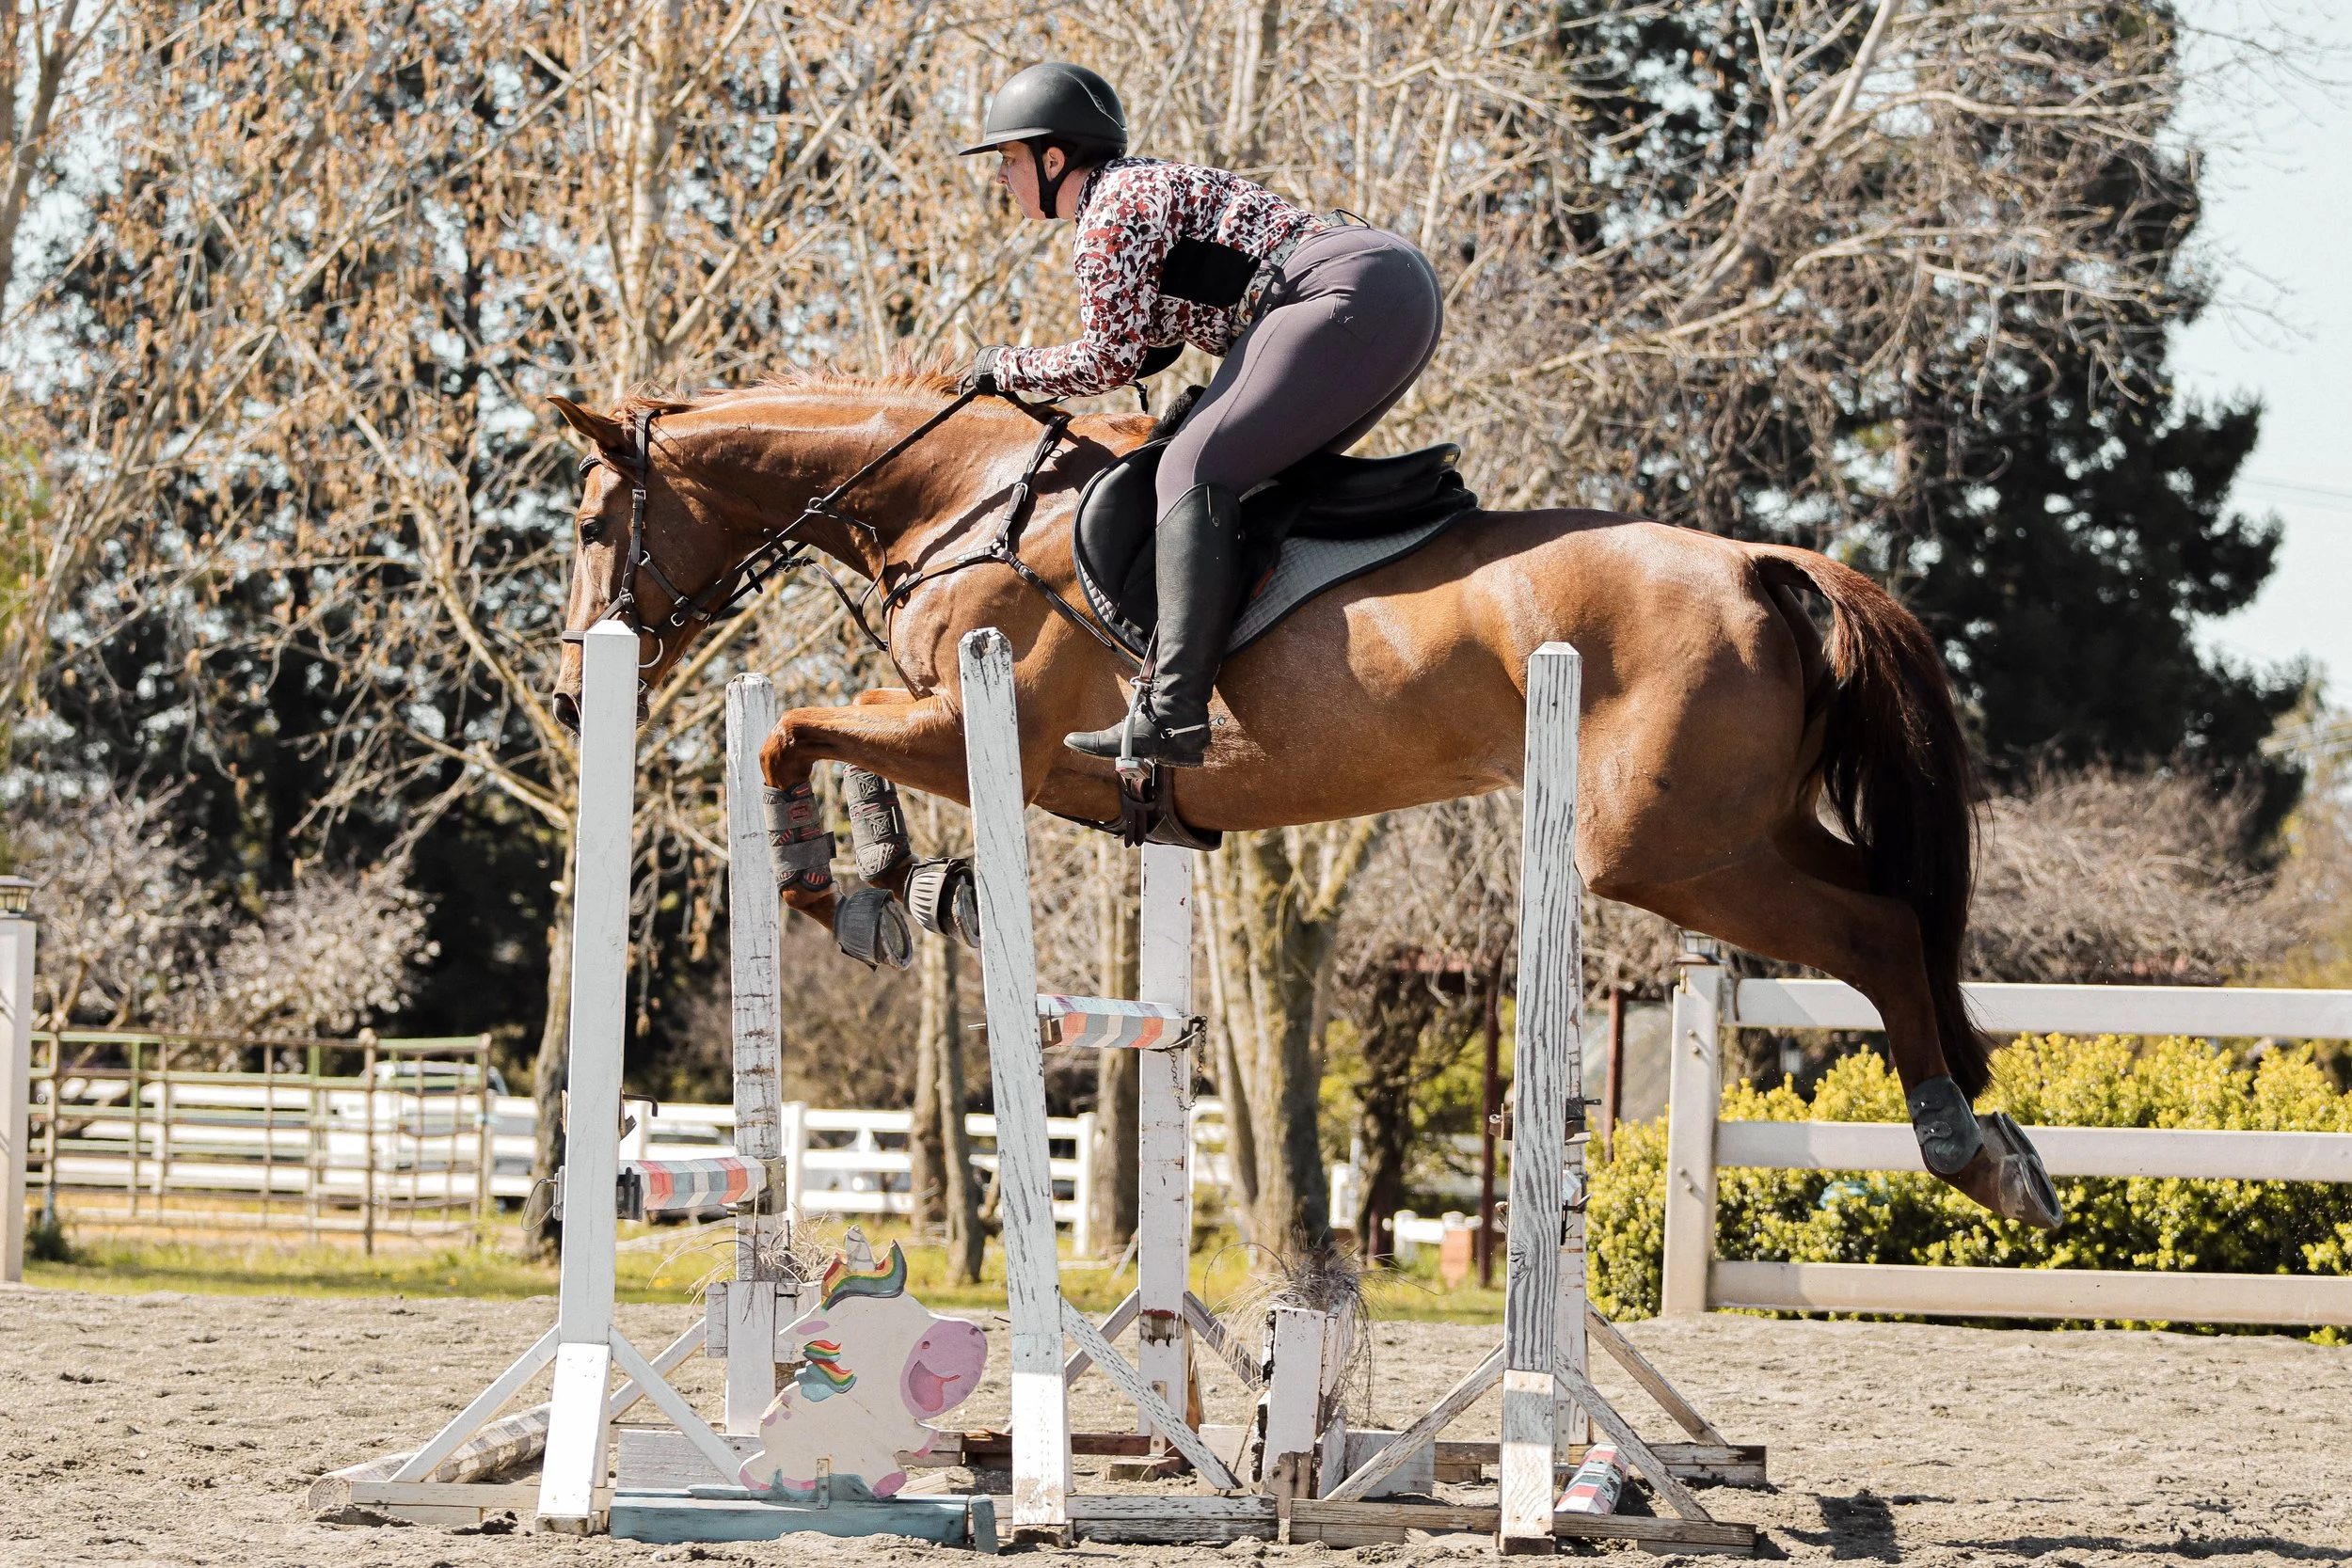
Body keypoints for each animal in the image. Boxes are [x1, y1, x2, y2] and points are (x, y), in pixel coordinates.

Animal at [546, 366, 2057, 1228]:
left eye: (586, 520)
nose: (569, 694)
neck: (955, 493)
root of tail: (1761, 562)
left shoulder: (993, 727)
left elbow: (796, 734)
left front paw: (833, 886)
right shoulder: (950, 724)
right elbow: (832, 736)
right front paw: (904, 882)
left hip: (1660, 850)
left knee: (1875, 931)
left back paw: (1964, 1149)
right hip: (1739, 829)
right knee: (1897, 915)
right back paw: (1999, 1141)